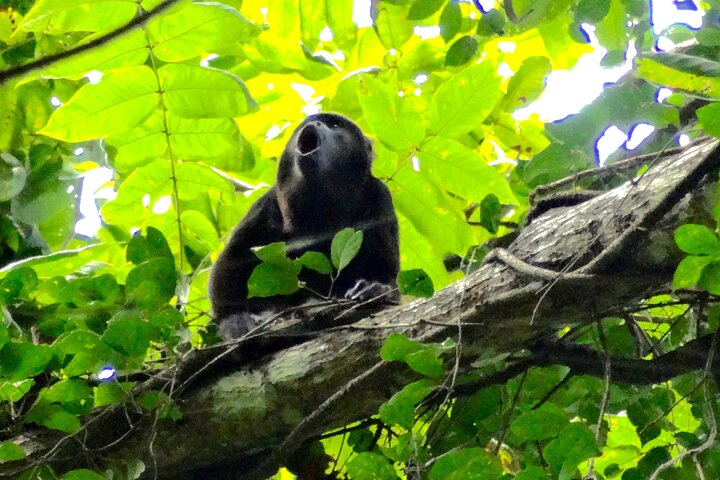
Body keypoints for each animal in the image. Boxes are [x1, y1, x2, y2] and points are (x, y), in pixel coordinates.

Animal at [208, 113, 400, 340]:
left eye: (336, 125)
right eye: (312, 121)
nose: (314, 123)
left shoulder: (380, 198)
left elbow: (388, 274)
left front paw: (374, 289)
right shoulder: (267, 205)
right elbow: (230, 263)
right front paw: (234, 321)